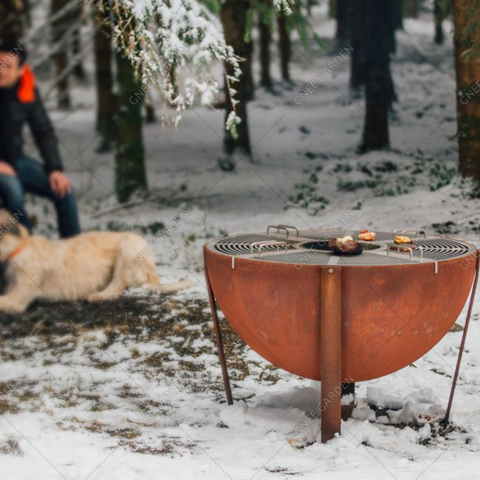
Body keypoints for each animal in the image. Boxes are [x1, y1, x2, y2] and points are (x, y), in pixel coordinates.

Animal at [0, 211, 190, 316]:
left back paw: (97, 295)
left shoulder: (17, 299)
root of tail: (154, 275)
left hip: (127, 245)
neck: (18, 248)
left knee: (117, 287)